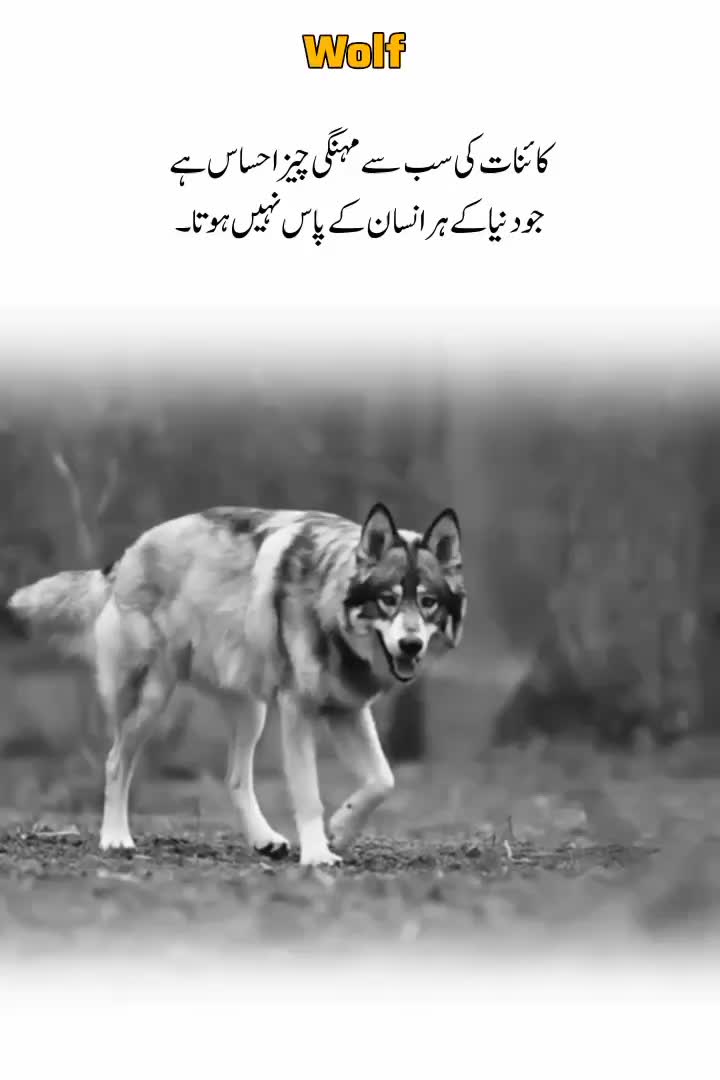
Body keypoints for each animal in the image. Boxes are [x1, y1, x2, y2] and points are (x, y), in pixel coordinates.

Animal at [3, 502, 467, 867]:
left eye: (428, 602)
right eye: (389, 599)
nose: (410, 644)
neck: (327, 605)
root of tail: (127, 554)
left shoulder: (347, 710)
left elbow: (383, 782)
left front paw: (341, 829)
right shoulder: (298, 711)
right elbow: (308, 794)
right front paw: (319, 854)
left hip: (251, 714)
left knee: (234, 778)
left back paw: (265, 840)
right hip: (152, 701)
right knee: (116, 762)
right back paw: (116, 838)